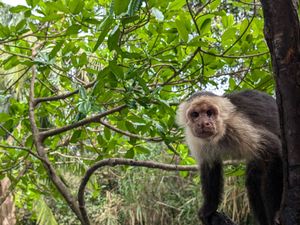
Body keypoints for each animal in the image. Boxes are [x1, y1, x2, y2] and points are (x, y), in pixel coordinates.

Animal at [176, 90, 282, 225]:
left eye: (209, 113)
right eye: (195, 114)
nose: (204, 123)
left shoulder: (237, 125)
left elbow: (273, 148)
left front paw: (277, 211)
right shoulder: (195, 140)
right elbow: (210, 166)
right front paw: (208, 209)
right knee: (254, 180)